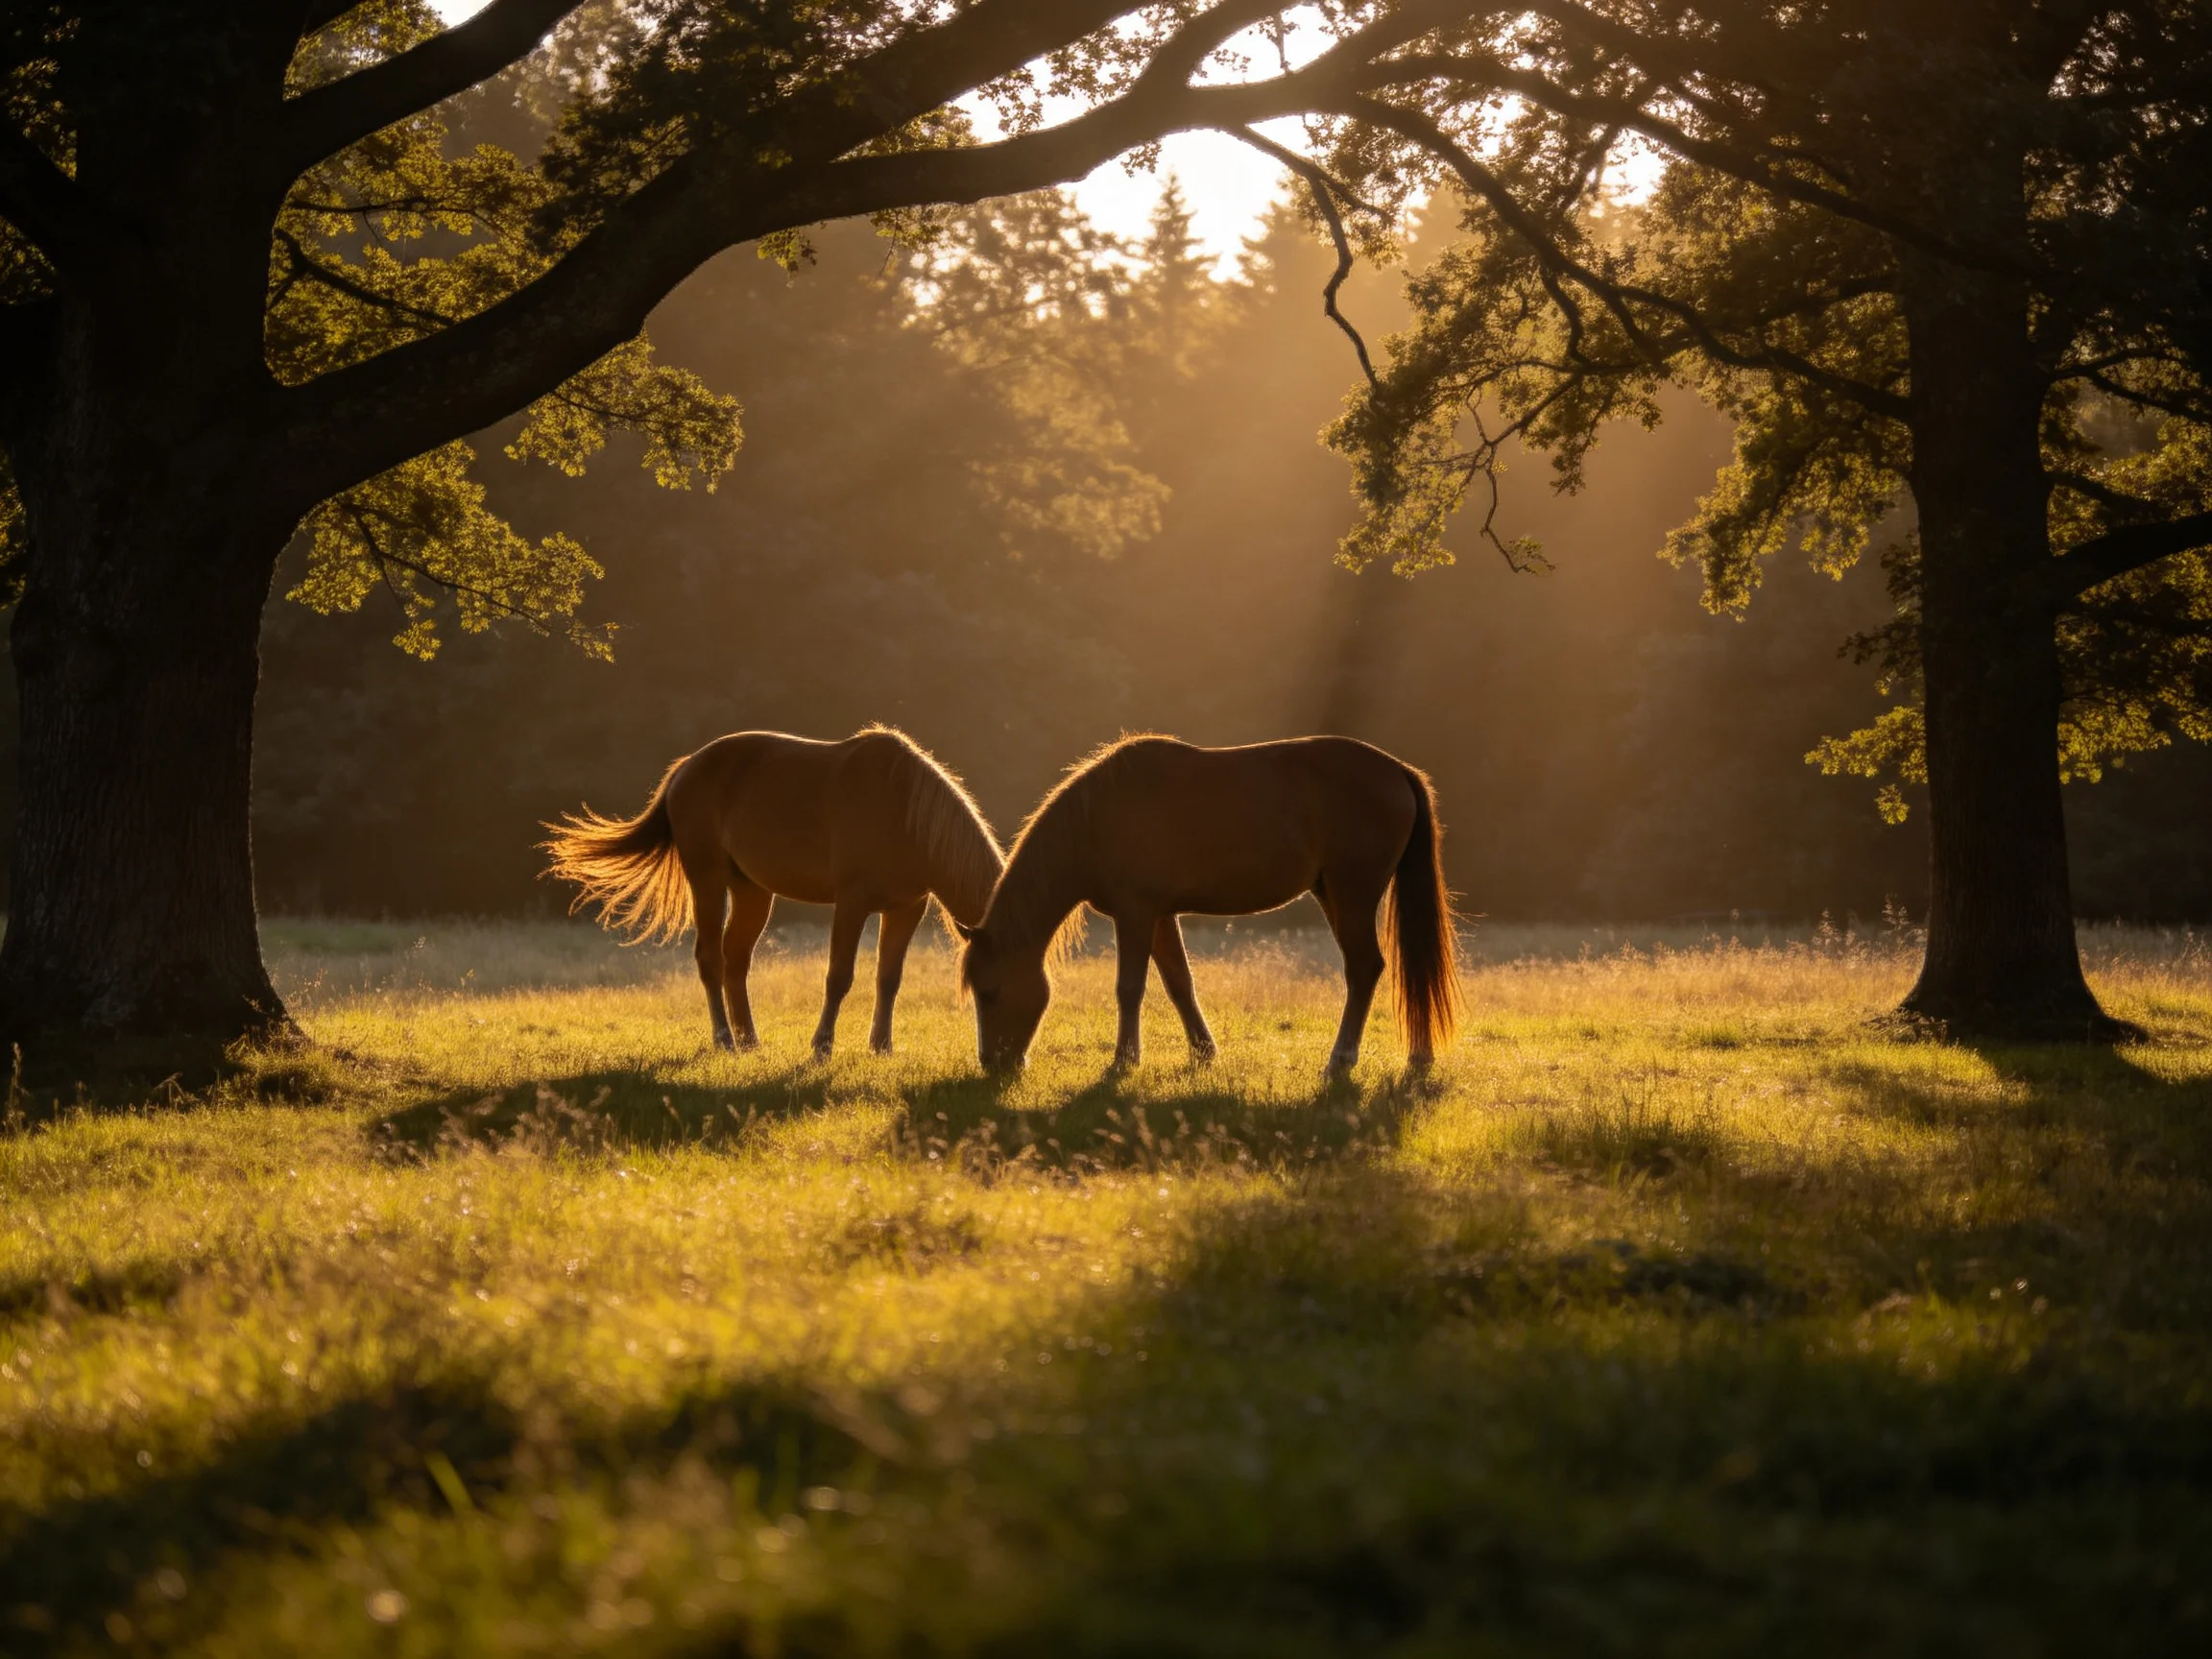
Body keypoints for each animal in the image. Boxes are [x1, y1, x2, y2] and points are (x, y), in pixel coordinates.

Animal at [543, 727, 1004, 1056]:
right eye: (984, 989)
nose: (996, 1056)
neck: (904, 811)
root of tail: (686, 768)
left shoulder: (907, 908)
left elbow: (889, 978)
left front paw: (882, 1048)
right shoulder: (852, 904)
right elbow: (839, 976)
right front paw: (822, 1047)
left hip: (752, 892)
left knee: (735, 960)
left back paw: (749, 1040)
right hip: (707, 881)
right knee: (710, 959)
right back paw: (725, 1040)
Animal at [957, 735, 1460, 1075]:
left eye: (990, 991)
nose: (993, 1063)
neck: (1098, 818)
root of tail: (1397, 771)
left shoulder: (1135, 914)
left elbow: (1129, 988)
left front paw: (1123, 1062)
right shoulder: (1159, 915)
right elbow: (1179, 983)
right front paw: (1203, 1051)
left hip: (1352, 895)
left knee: (1363, 968)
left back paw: (1341, 1059)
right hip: (1331, 895)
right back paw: (1417, 1056)